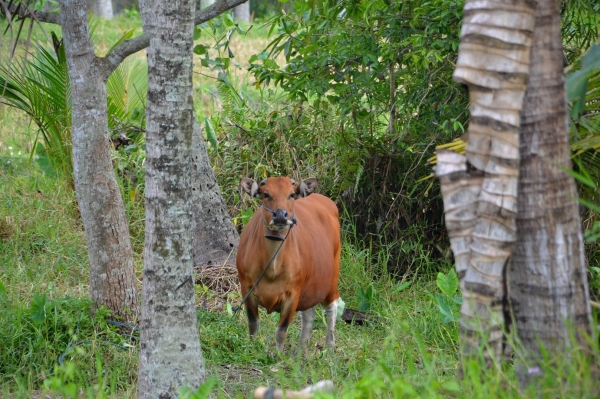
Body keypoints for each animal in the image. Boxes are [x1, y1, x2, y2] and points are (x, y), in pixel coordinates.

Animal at [236, 177, 340, 352]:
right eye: (266, 194)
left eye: (291, 194)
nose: (280, 215)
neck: (272, 268)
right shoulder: (247, 288)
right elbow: (253, 323)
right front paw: (252, 348)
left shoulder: (293, 294)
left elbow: (281, 330)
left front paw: (279, 354)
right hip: (312, 284)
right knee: (308, 314)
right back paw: (302, 349)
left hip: (333, 277)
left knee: (332, 306)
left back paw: (330, 347)